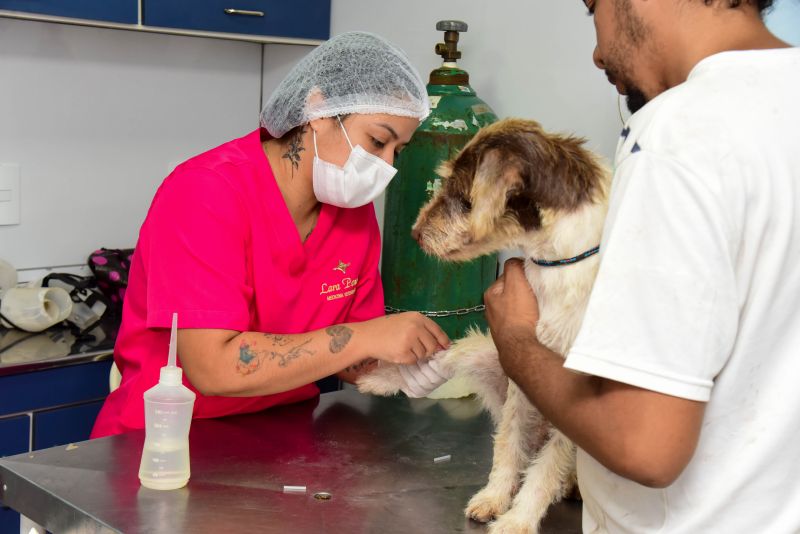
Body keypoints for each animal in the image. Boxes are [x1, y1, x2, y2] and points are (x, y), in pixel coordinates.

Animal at [360, 120, 608, 534]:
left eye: (463, 196)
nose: (415, 233)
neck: (556, 264)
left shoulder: (574, 397)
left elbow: (546, 467)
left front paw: (518, 519)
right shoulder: (519, 364)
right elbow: (507, 443)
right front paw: (494, 498)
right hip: (487, 351)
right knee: (446, 360)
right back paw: (382, 379)